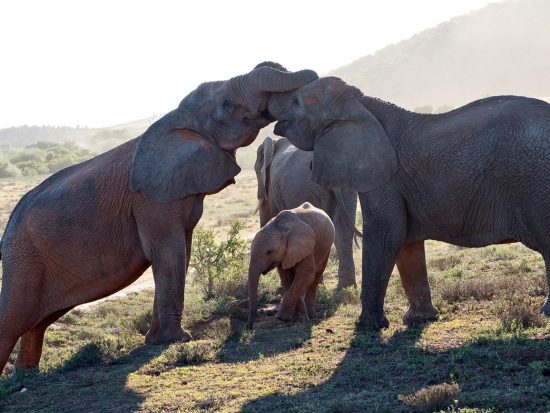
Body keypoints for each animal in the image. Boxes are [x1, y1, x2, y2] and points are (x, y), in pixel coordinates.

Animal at [0, 62, 320, 374]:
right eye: (226, 103)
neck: (176, 118)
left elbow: (181, 253)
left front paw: (155, 340)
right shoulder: (150, 201)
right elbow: (169, 253)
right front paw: (176, 339)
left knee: (36, 322)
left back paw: (27, 374)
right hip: (24, 257)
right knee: (14, 317)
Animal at [270, 76, 550, 328]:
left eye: (297, 101)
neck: (358, 103)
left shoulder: (384, 176)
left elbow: (386, 235)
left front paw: (367, 326)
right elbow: (407, 242)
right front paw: (419, 320)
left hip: (536, 181)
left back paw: (545, 313)